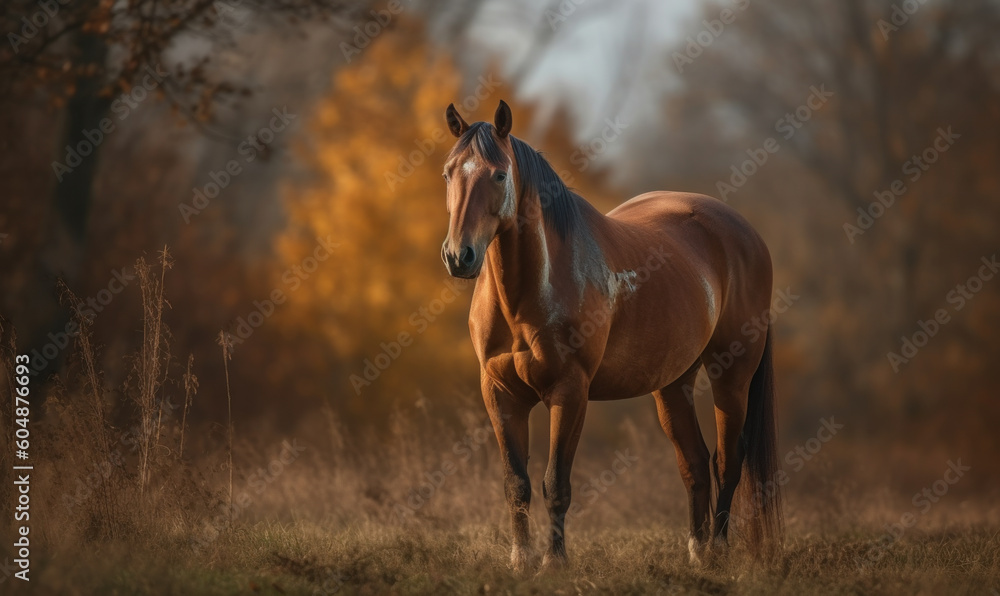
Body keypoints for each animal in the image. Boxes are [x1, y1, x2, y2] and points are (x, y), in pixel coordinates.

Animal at [439, 100, 782, 571]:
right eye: (448, 173)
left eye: (499, 175)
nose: (459, 256)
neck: (529, 292)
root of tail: (748, 235)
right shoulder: (500, 393)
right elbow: (516, 483)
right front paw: (521, 561)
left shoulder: (570, 392)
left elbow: (555, 484)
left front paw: (555, 563)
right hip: (672, 384)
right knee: (694, 463)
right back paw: (696, 555)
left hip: (732, 376)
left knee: (727, 462)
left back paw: (716, 552)